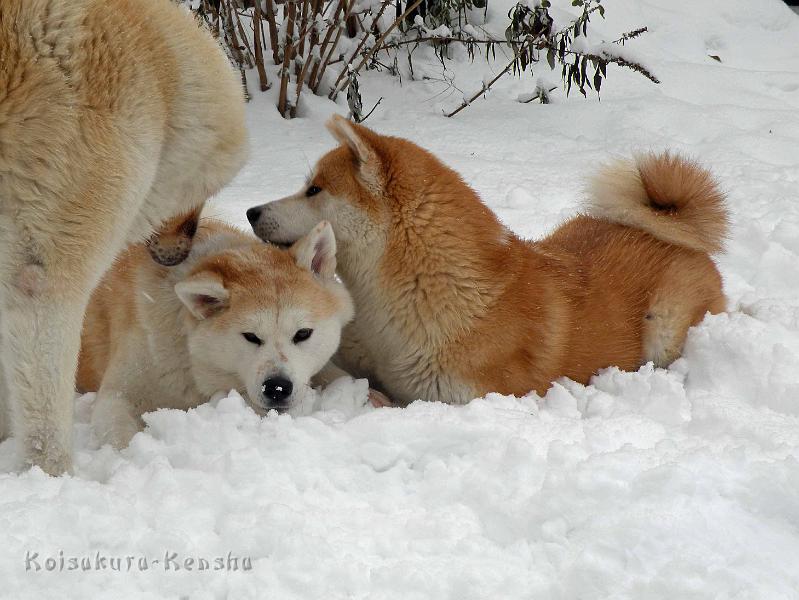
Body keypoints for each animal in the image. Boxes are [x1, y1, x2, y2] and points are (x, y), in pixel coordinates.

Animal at [77, 223, 354, 448]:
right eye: (251, 336)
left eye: (303, 333)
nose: (277, 388)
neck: (191, 359)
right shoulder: (117, 394)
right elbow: (122, 436)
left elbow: (342, 377)